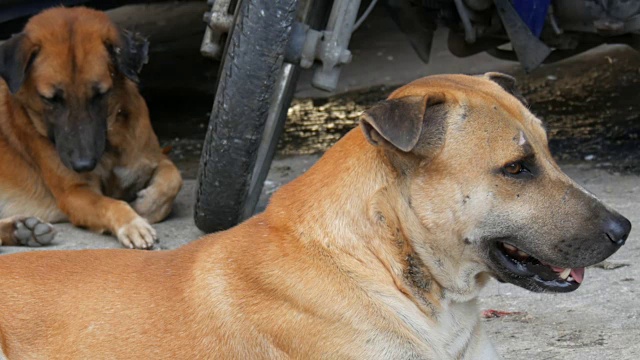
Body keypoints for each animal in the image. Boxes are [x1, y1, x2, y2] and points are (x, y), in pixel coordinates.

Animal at [0, 9, 182, 250]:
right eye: (51, 99)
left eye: (100, 94)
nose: (83, 165)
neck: (111, 145)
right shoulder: (75, 194)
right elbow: (111, 204)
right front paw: (132, 222)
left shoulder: (154, 158)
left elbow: (173, 177)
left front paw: (148, 204)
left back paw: (21, 229)